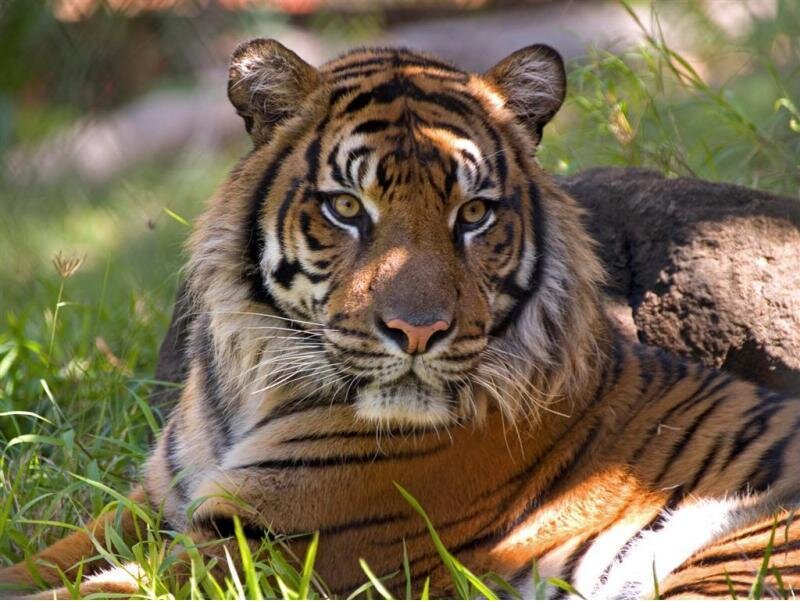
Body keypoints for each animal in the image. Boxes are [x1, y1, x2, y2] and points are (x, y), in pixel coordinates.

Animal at [2, 39, 799, 600]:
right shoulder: (150, 503)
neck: (251, 384)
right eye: (346, 207)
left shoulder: (252, 547)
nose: (418, 333)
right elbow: (40, 559)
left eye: (473, 214)